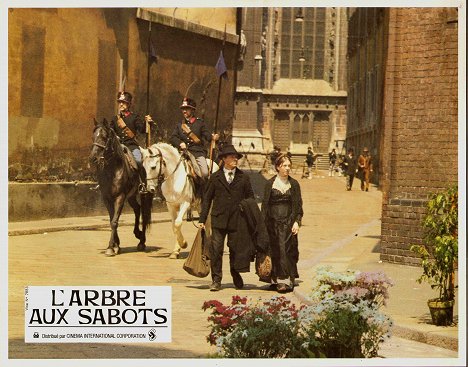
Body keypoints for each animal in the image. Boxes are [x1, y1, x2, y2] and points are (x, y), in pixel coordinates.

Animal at [88, 118, 153, 256]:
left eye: (104, 137)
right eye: (93, 136)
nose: (93, 158)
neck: (112, 170)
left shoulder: (120, 197)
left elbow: (114, 221)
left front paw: (110, 248)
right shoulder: (107, 199)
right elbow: (112, 219)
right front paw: (116, 245)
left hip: (142, 195)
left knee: (144, 214)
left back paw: (142, 241)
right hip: (131, 196)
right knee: (137, 209)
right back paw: (137, 233)